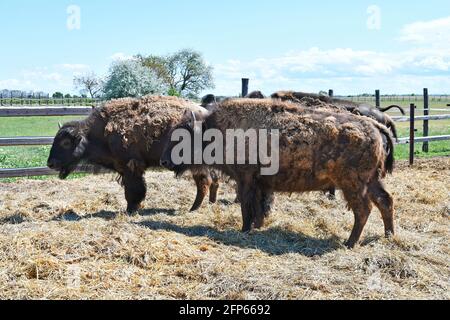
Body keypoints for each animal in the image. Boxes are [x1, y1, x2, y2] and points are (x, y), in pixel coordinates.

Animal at [46, 95, 219, 215]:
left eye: (66, 142)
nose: (50, 163)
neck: (95, 134)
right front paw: (133, 208)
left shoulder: (131, 167)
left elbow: (134, 190)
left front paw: (131, 210)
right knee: (213, 181)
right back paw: (209, 204)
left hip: (196, 163)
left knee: (204, 182)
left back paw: (193, 208)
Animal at [161, 99, 394, 249]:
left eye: (181, 136)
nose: (164, 161)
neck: (216, 129)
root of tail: (375, 126)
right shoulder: (261, 184)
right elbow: (259, 208)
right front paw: (256, 227)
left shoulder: (246, 180)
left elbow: (247, 206)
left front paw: (244, 230)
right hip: (371, 181)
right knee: (385, 201)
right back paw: (388, 236)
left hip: (353, 184)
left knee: (363, 209)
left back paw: (349, 243)